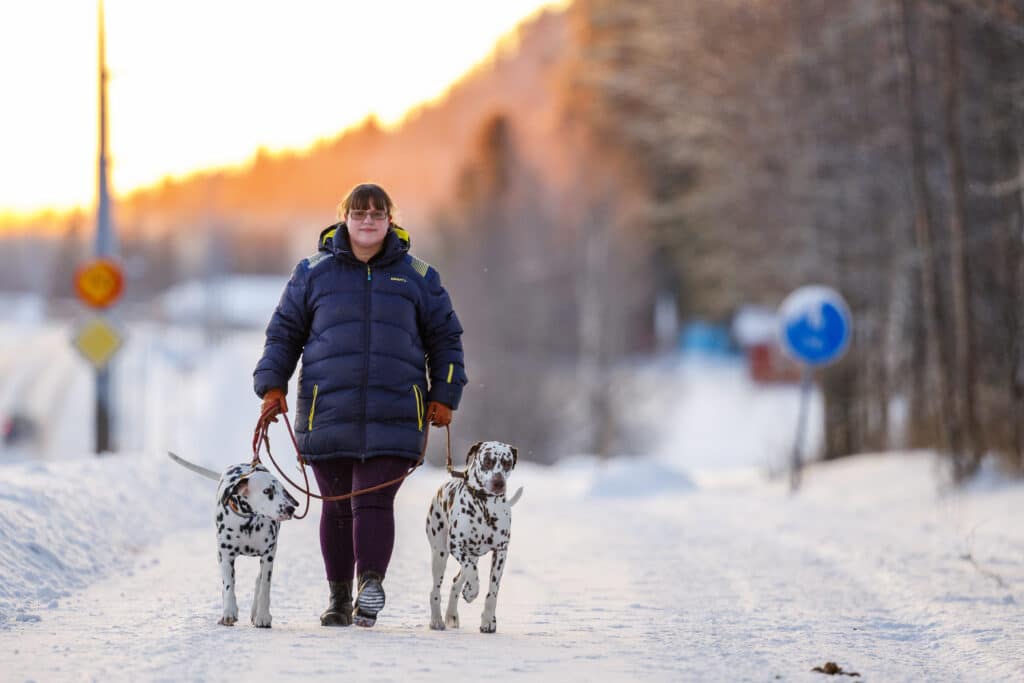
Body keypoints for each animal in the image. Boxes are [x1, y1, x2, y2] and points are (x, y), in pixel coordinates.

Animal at [166, 454, 296, 630]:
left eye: (283, 491)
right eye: (267, 491)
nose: (291, 509)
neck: (248, 522)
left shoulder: (268, 556)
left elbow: (264, 587)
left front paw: (262, 616)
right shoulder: (226, 556)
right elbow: (228, 586)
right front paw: (229, 613)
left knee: (259, 580)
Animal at [425, 440, 524, 634]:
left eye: (507, 463)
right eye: (487, 461)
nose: (498, 483)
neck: (485, 506)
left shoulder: (500, 552)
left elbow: (493, 590)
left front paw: (488, 621)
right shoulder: (456, 545)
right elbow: (472, 572)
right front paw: (472, 592)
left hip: (472, 554)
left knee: (456, 582)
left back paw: (451, 615)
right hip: (440, 553)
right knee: (436, 590)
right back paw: (437, 620)